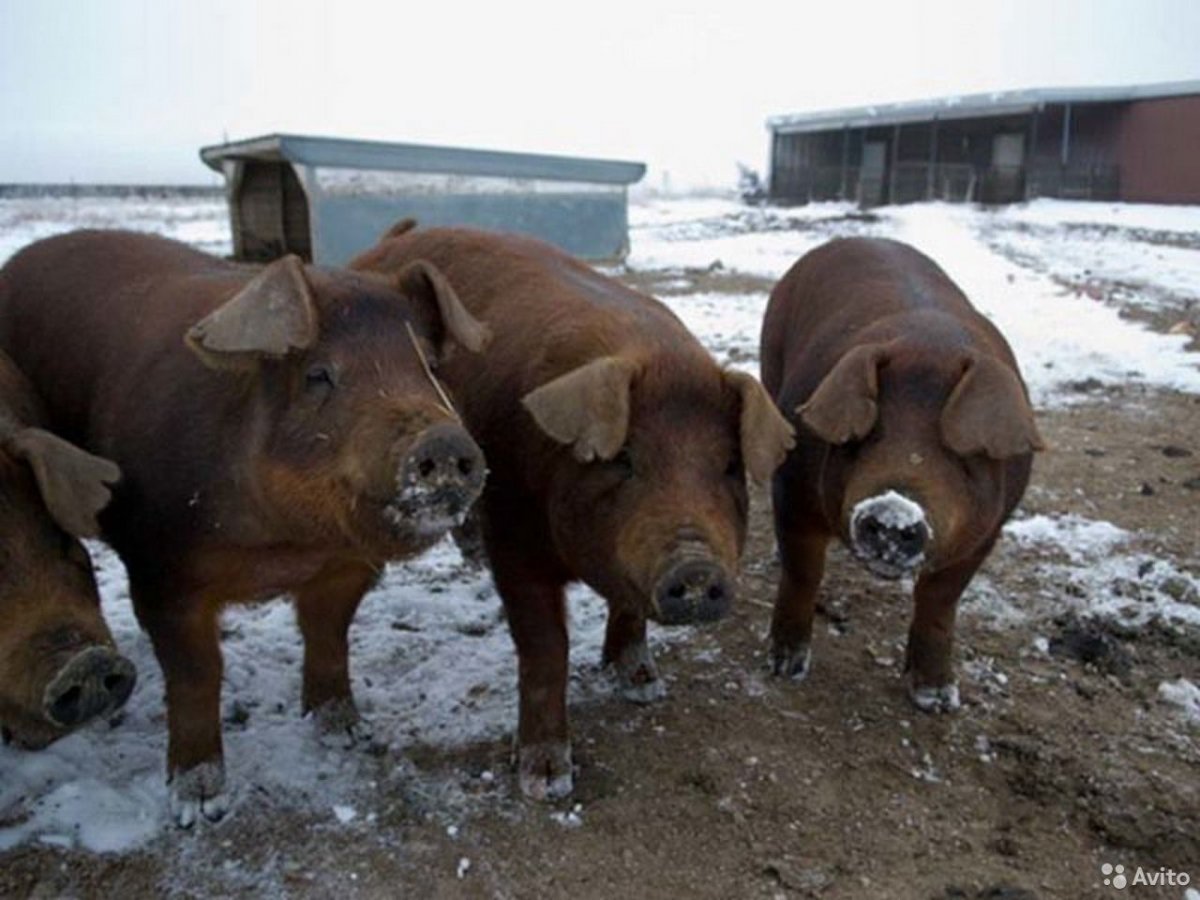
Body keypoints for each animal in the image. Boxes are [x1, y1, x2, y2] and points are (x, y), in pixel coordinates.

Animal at [350, 222, 796, 801]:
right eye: (624, 459)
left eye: (728, 466)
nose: (696, 566)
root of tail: (393, 237)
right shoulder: (513, 536)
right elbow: (545, 647)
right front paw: (546, 781)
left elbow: (628, 611)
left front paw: (643, 686)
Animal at [763, 237, 1046, 710]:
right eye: (865, 437)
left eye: (962, 455)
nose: (894, 510)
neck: (931, 345)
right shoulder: (792, 489)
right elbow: (803, 573)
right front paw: (783, 667)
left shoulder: (988, 531)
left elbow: (939, 603)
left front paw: (938, 699)